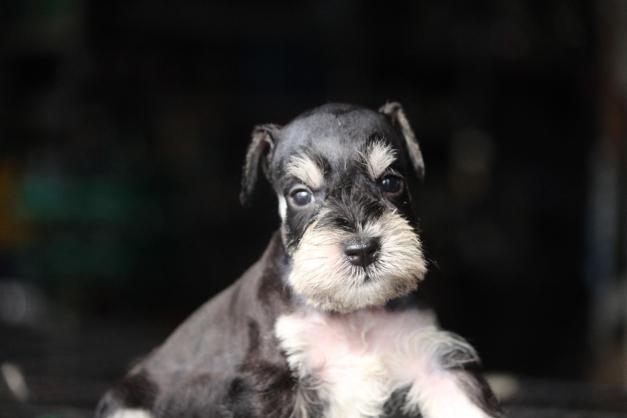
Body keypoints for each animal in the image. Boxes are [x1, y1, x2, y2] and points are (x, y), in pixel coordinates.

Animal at [95, 103, 504, 418]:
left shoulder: (435, 363)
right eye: (300, 195)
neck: (353, 314)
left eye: (391, 182)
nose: (362, 250)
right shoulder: (270, 382)